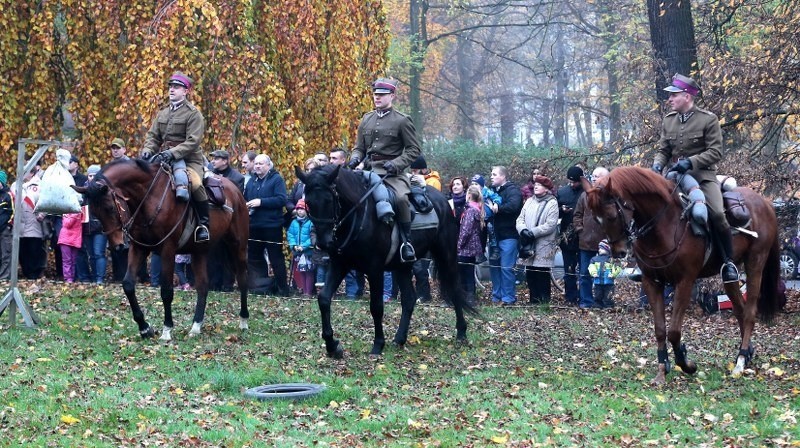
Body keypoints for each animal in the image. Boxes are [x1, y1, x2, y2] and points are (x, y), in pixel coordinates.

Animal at [76, 158, 250, 340]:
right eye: (94, 213)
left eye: (110, 208)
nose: (118, 245)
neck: (149, 196)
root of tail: (235, 190)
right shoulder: (139, 248)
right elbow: (128, 285)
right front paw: (144, 328)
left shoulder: (168, 249)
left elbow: (166, 290)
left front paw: (167, 329)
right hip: (199, 252)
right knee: (203, 286)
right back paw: (196, 326)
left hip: (238, 246)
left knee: (243, 280)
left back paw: (243, 320)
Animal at [296, 164, 478, 356]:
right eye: (309, 203)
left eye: (329, 200)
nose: (324, 243)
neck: (358, 215)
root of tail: (442, 200)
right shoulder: (339, 265)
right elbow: (324, 299)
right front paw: (332, 345)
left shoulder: (375, 269)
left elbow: (376, 306)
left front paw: (378, 344)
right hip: (403, 266)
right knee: (409, 299)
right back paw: (400, 338)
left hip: (446, 255)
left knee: (454, 290)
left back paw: (461, 332)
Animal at [580, 166, 780, 384]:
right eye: (596, 218)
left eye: (611, 216)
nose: (619, 252)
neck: (664, 224)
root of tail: (765, 203)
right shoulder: (652, 282)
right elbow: (660, 330)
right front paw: (662, 370)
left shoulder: (685, 281)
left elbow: (674, 332)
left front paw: (686, 363)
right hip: (730, 275)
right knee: (739, 310)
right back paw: (746, 354)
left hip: (755, 264)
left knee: (750, 312)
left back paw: (741, 362)